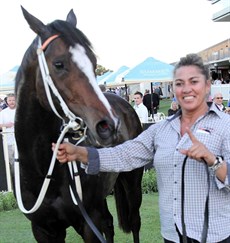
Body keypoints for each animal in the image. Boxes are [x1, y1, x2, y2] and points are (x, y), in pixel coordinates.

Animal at [13, 6, 144, 243]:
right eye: (58, 64)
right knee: (109, 223)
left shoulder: (88, 222)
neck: (43, 168)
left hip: (132, 182)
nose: (108, 125)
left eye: (92, 62)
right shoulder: (43, 229)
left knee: (134, 221)